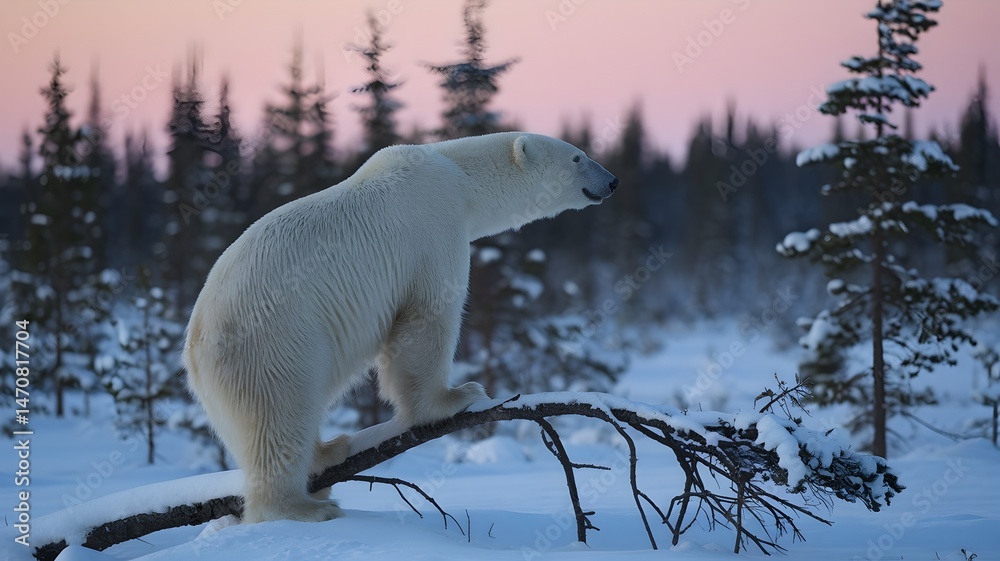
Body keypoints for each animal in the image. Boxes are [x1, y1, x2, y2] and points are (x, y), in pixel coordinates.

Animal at [182, 132, 618, 524]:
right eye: (578, 157)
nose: (612, 180)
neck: (459, 176)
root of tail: (195, 347)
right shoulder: (435, 229)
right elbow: (427, 316)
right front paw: (456, 396)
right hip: (273, 341)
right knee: (280, 415)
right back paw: (306, 506)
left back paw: (328, 452)